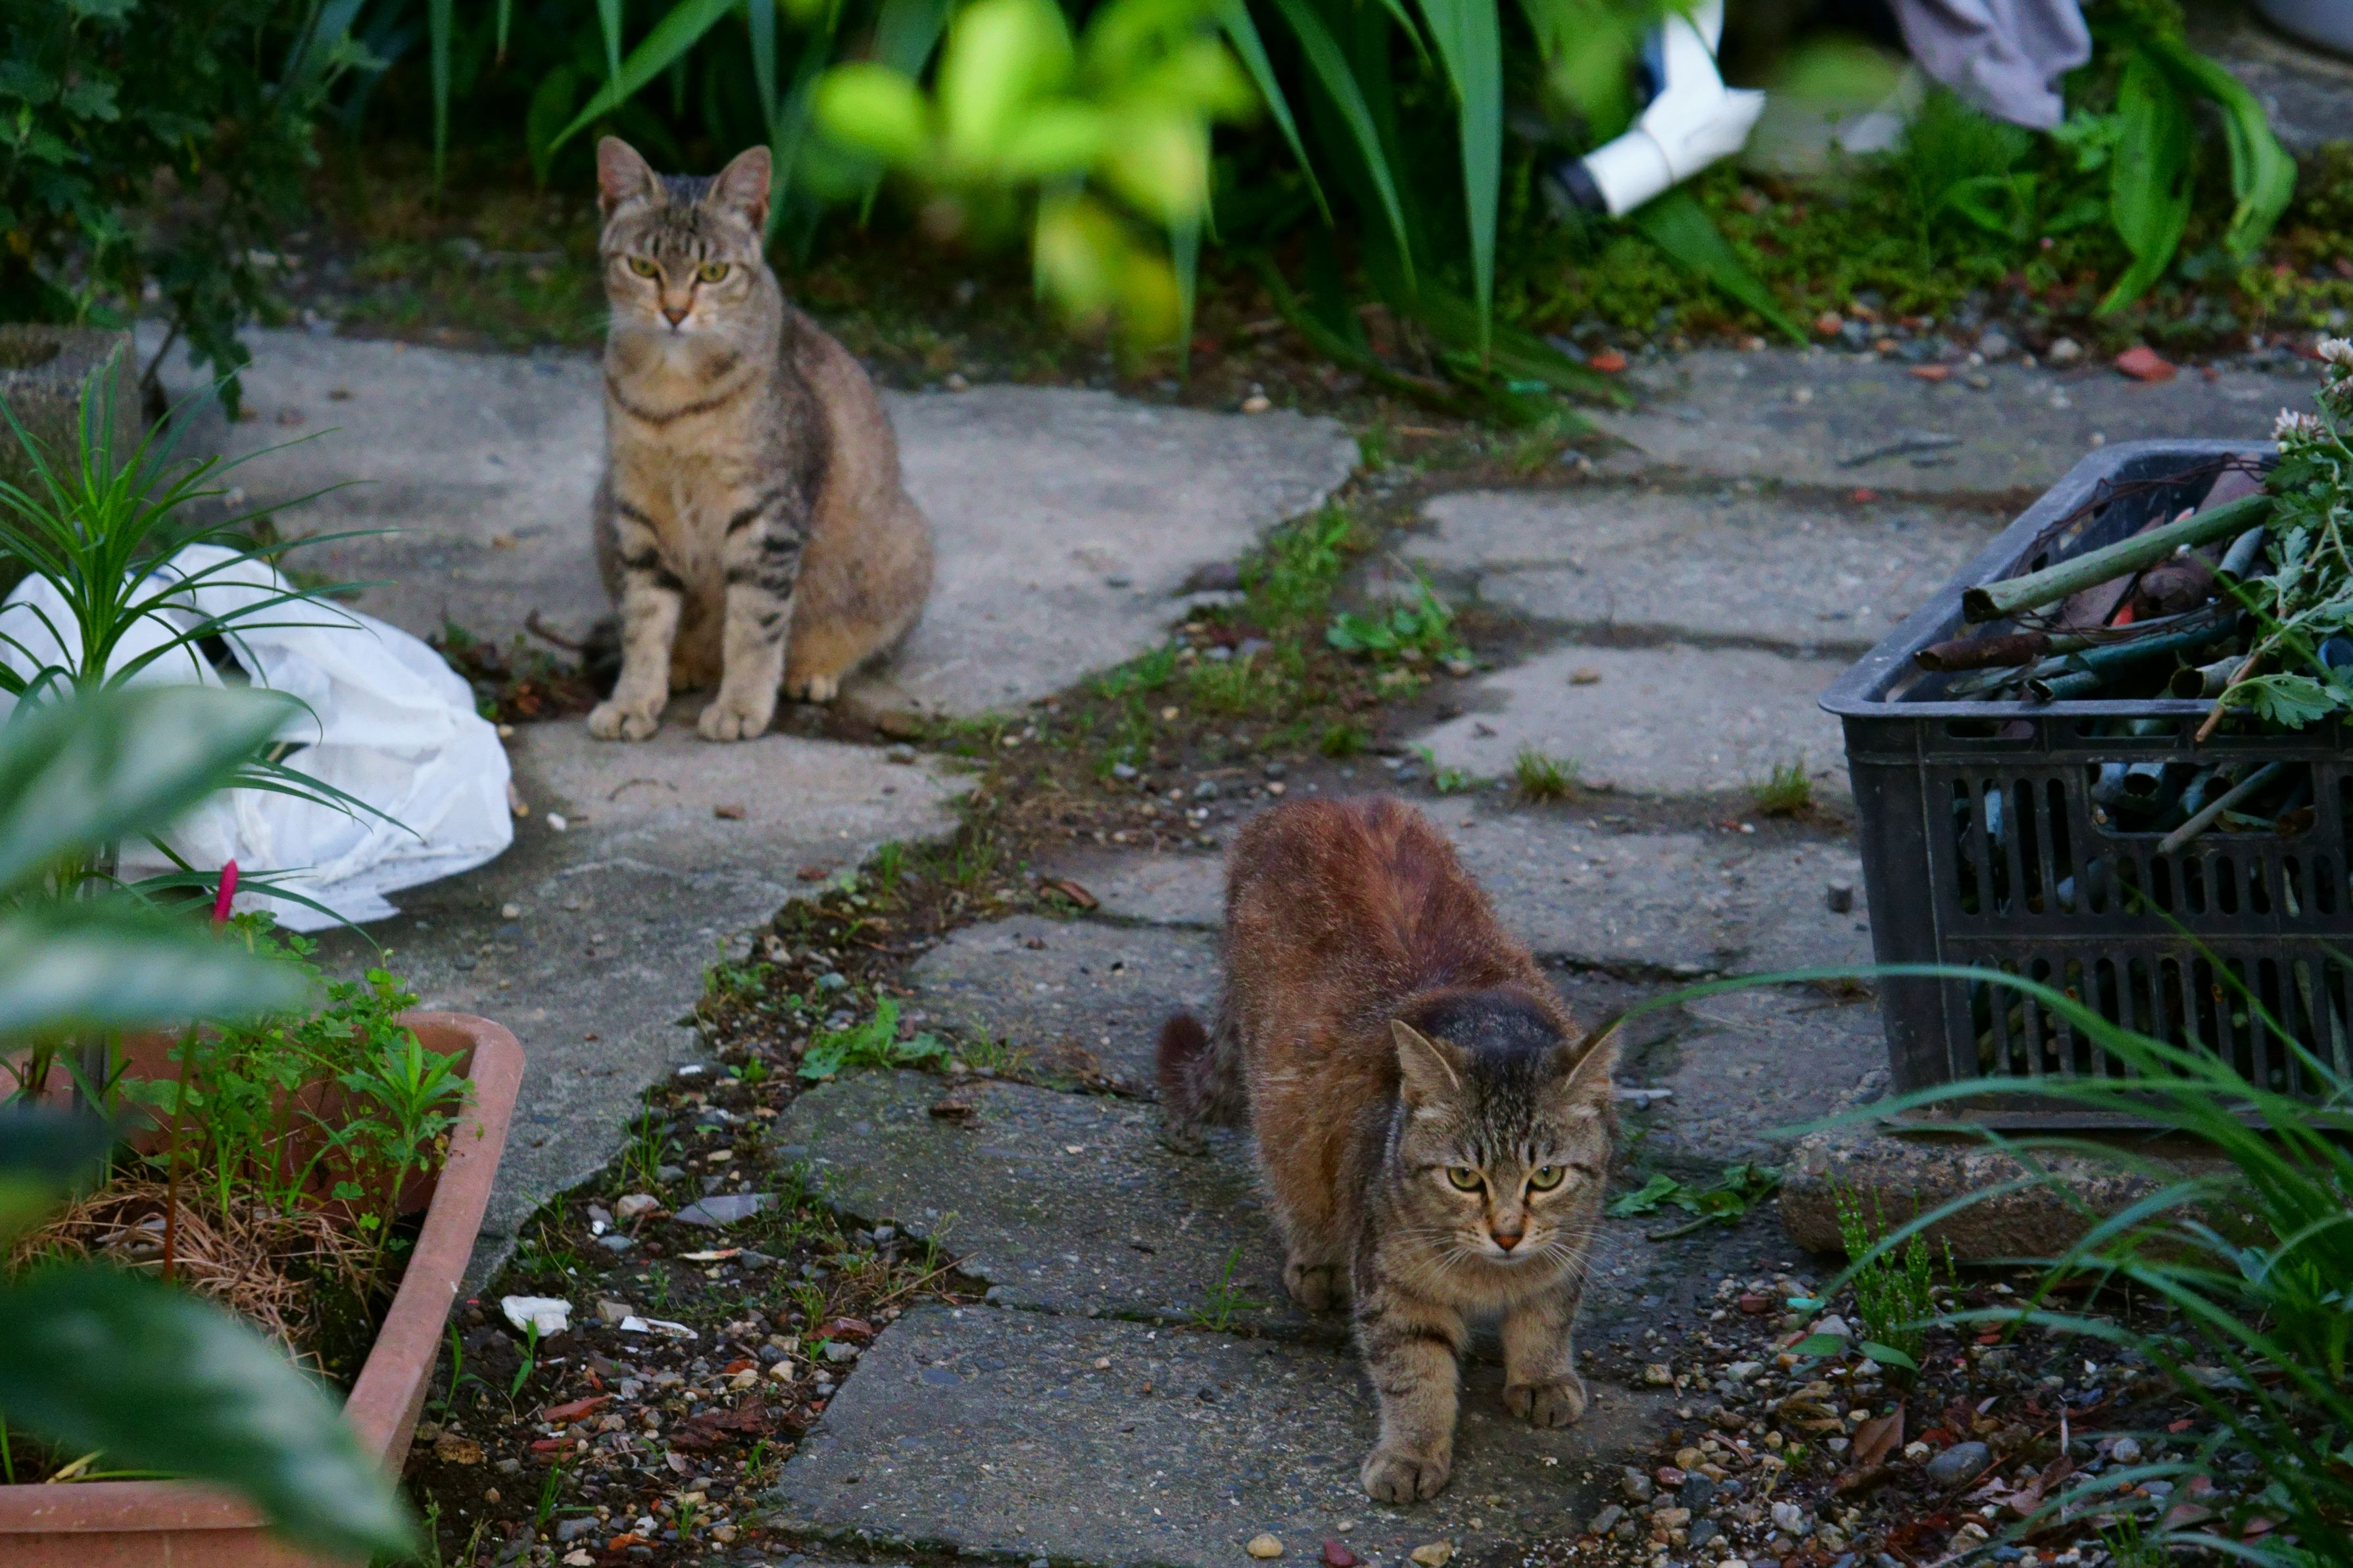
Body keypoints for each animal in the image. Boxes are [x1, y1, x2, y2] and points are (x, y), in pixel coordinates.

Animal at [588, 137, 933, 743]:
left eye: (714, 271)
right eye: (643, 266)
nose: (674, 311)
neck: (671, 397)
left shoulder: (768, 515)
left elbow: (755, 624)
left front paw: (741, 706)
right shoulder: (638, 512)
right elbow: (643, 620)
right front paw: (633, 701)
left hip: (904, 551)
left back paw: (811, 672)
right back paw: (687, 665)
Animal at [1158, 795, 1617, 1504]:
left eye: (1545, 1177)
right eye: (1463, 1178)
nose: (1507, 1233)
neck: (1489, 1275)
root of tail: (1313, 799)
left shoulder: (1568, 1251)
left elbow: (1548, 1315)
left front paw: (1541, 1375)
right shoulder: (1392, 1287)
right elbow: (1414, 1373)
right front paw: (1412, 1451)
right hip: (1283, 1094)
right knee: (1288, 1172)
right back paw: (1315, 1260)